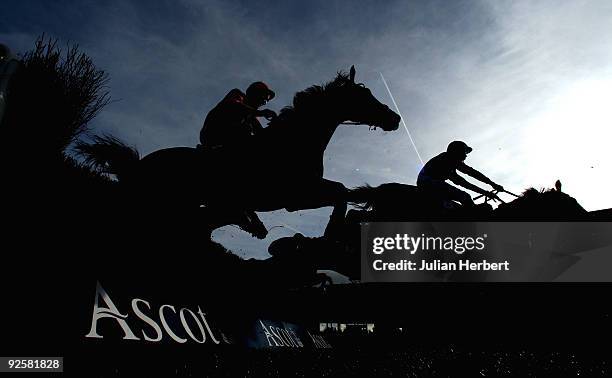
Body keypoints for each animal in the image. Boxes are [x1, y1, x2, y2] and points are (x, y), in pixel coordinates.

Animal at [77, 66, 402, 235]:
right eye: (363, 95)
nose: (395, 118)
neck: (292, 143)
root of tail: (138, 164)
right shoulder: (297, 194)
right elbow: (340, 191)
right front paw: (333, 229)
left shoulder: (302, 194)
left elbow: (342, 190)